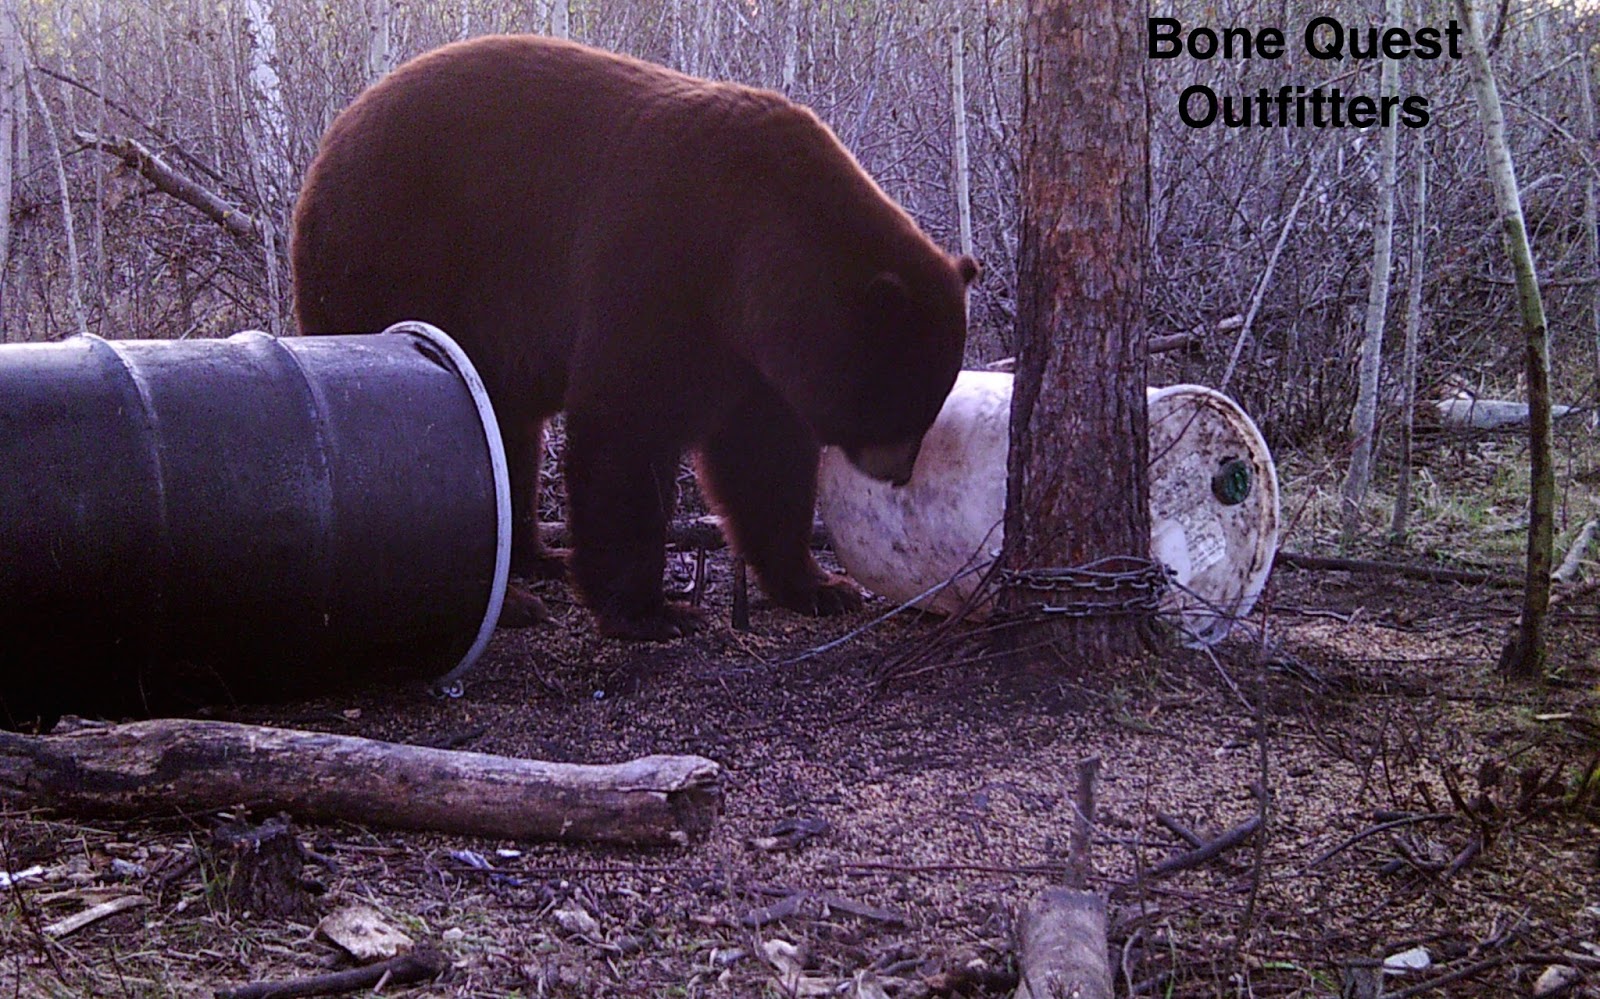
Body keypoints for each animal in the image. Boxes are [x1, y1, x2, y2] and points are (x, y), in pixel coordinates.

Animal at [291, 35, 977, 641]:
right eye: (900, 400)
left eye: (932, 399)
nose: (900, 472)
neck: (760, 247)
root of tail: (326, 151)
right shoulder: (660, 257)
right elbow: (628, 424)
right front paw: (655, 612)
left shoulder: (754, 350)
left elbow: (765, 453)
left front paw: (821, 586)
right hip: (397, 262)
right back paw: (512, 602)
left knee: (509, 434)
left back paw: (537, 558)